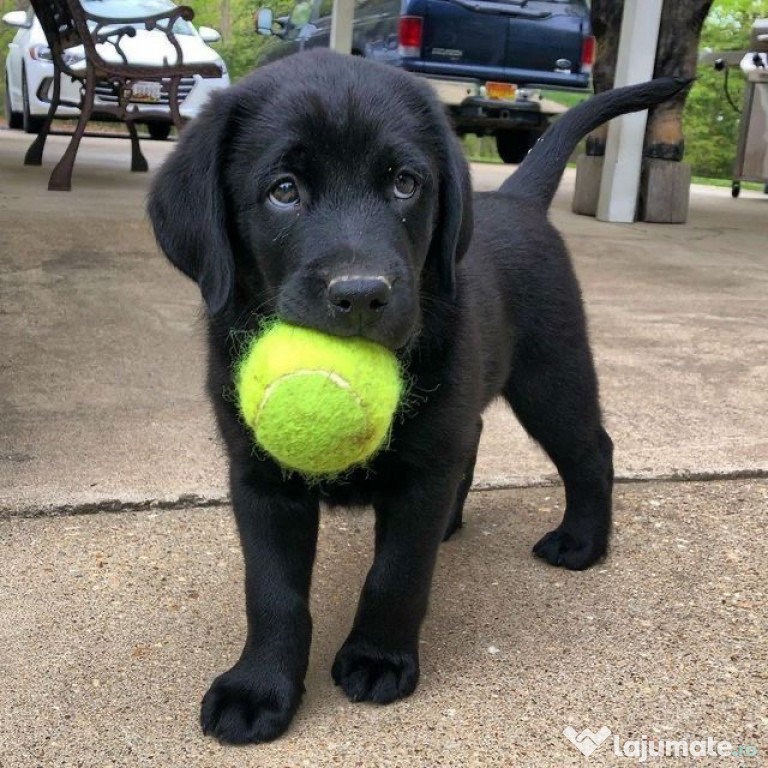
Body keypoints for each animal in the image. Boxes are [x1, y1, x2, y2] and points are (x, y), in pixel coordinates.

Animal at [147, 52, 688, 744]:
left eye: (406, 184)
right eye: (283, 190)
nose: (361, 294)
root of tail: (516, 197)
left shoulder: (423, 470)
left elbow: (396, 572)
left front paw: (378, 658)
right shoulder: (259, 476)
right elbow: (271, 592)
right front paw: (259, 687)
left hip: (550, 372)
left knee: (591, 448)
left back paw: (582, 542)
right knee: (479, 437)